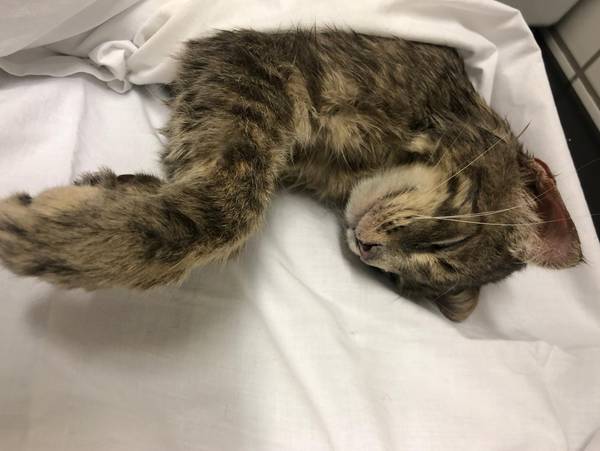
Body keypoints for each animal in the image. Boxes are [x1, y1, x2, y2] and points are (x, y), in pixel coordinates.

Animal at [0, 29, 582, 321]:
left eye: (398, 282)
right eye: (448, 244)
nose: (365, 247)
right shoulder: (251, 57)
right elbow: (231, 205)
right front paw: (77, 241)